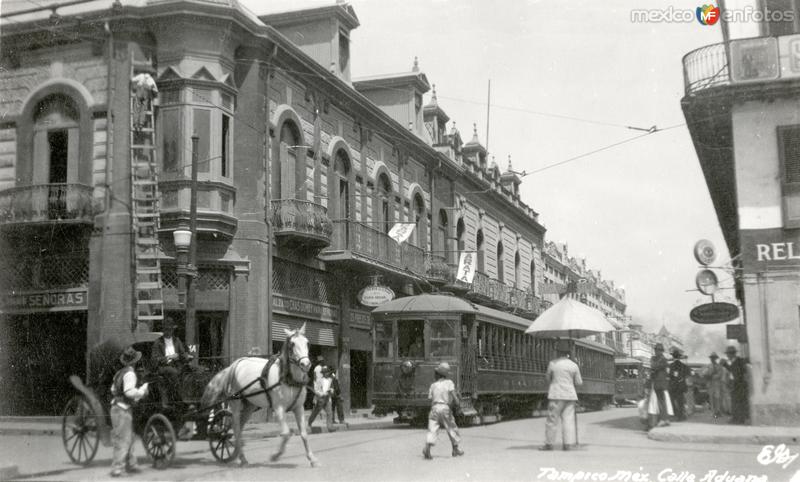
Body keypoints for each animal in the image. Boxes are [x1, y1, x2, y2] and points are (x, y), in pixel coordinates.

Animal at [200, 324, 316, 466]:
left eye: (307, 343)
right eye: (292, 344)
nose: (306, 364)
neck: (288, 379)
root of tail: (235, 364)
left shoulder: (298, 407)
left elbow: (304, 434)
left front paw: (312, 459)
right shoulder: (279, 408)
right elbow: (285, 433)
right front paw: (275, 455)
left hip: (249, 405)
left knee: (238, 427)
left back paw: (239, 455)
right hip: (235, 402)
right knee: (236, 428)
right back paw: (239, 455)